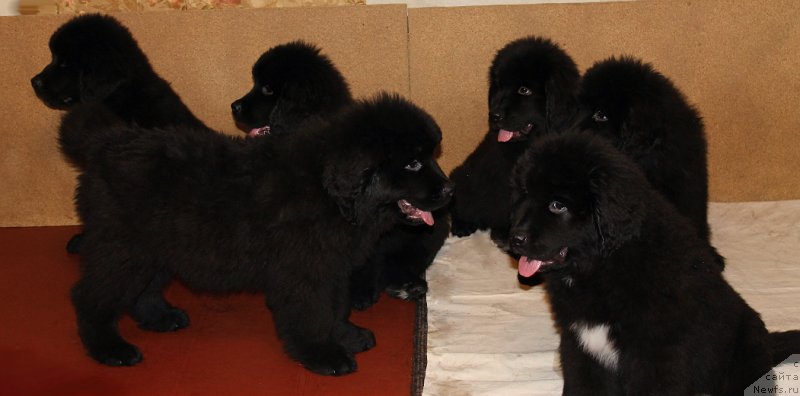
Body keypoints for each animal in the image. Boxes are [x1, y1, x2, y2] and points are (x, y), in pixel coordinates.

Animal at [60, 94, 454, 376]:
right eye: (413, 163)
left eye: (432, 155)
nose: (450, 190)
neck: (330, 194)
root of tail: (106, 142)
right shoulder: (303, 272)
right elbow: (312, 313)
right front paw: (322, 355)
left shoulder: (332, 267)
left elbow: (336, 306)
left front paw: (346, 334)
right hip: (123, 249)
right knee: (90, 296)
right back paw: (109, 348)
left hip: (157, 248)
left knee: (143, 291)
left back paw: (160, 317)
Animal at [510, 131, 796, 394]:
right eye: (525, 195)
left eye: (557, 205)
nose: (514, 238)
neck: (605, 264)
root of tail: (768, 343)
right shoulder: (579, 343)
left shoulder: (654, 354)